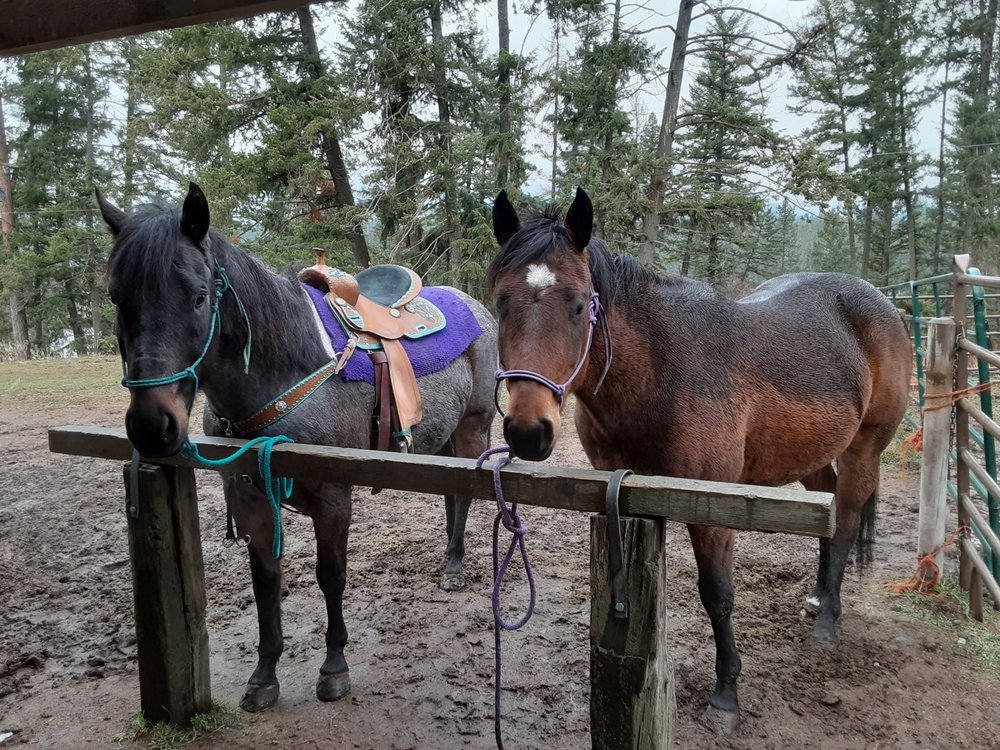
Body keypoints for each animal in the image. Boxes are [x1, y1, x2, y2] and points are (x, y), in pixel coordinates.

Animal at [99, 183, 497, 713]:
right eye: (116, 297)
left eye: (199, 296)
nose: (151, 424)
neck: (289, 368)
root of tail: (475, 305)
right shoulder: (250, 496)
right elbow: (266, 582)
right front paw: (264, 676)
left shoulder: (333, 498)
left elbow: (331, 577)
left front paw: (334, 667)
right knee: (452, 496)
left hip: (473, 428)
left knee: (465, 494)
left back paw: (453, 565)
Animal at [486, 187, 911, 734]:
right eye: (501, 302)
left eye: (579, 306)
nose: (528, 430)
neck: (658, 374)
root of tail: (881, 303)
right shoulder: (625, 493)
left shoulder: (710, 510)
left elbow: (718, 596)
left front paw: (726, 693)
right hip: (812, 454)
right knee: (828, 506)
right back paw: (819, 596)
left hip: (866, 448)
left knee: (846, 521)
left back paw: (827, 621)